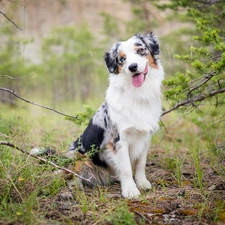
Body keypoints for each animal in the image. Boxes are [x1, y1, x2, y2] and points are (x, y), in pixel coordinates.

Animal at [62, 32, 164, 199]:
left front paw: (142, 183)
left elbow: (140, 164)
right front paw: (130, 190)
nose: (132, 67)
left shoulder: (146, 136)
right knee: (70, 174)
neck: (137, 94)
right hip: (76, 153)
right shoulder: (118, 140)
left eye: (140, 51)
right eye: (122, 59)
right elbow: (126, 168)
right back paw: (75, 186)